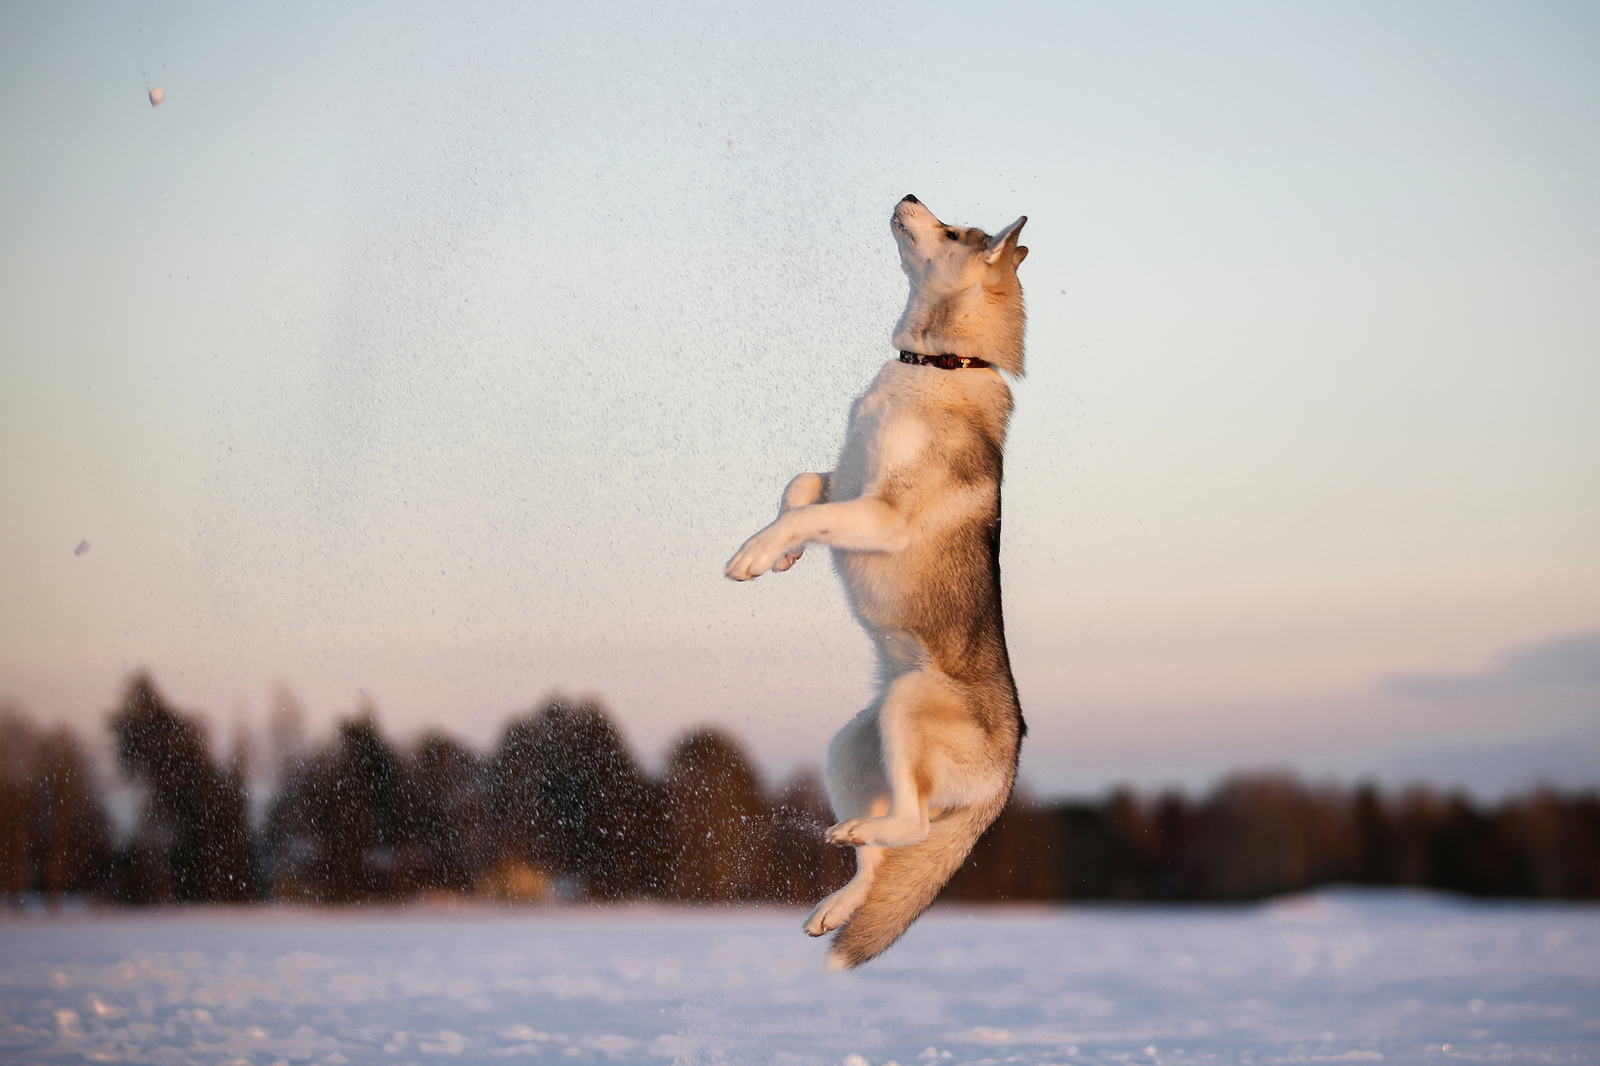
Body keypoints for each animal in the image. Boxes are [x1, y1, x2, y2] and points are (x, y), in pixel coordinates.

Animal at [723, 195, 1024, 966]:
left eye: (953, 231)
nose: (909, 195)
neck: (938, 364)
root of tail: (1010, 770)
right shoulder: (844, 475)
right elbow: (802, 487)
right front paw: (781, 554)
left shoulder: (882, 513)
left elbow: (810, 512)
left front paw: (755, 554)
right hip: (852, 749)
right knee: (880, 858)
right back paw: (837, 902)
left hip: (908, 705)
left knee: (911, 827)